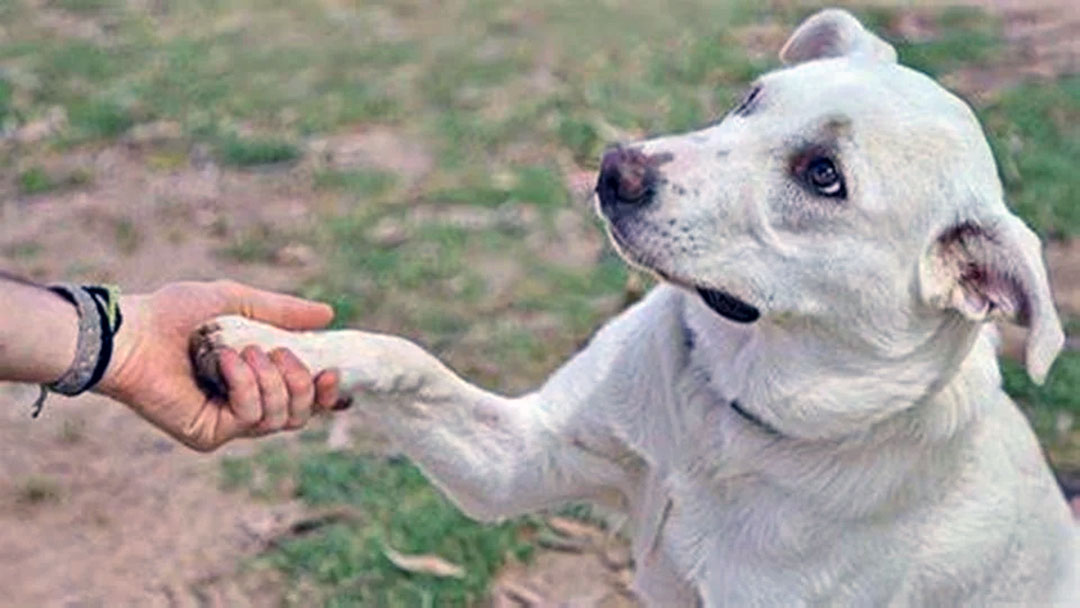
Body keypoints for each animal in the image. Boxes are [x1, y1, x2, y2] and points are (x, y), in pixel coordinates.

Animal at [196, 9, 1080, 604]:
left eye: (823, 175)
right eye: (750, 98)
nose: (614, 168)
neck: (728, 415)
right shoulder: (520, 460)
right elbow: (402, 356)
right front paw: (267, 343)